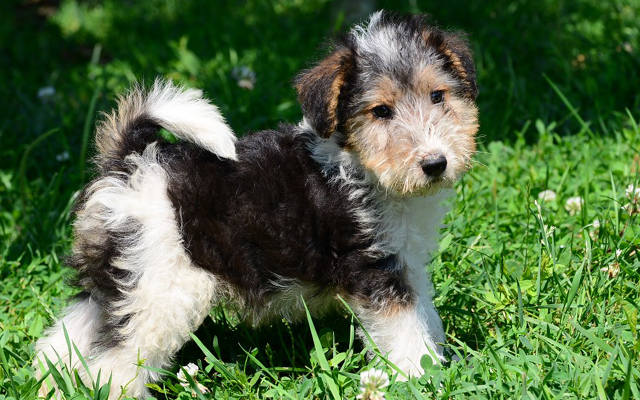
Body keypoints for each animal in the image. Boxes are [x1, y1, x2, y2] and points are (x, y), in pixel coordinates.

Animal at [33, 10, 476, 398]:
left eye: (438, 96)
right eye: (381, 111)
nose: (435, 163)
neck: (361, 166)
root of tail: (131, 162)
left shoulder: (405, 261)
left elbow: (426, 317)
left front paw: (443, 361)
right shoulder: (375, 269)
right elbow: (406, 335)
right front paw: (423, 378)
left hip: (117, 276)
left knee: (66, 337)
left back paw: (48, 384)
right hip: (161, 290)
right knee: (113, 365)